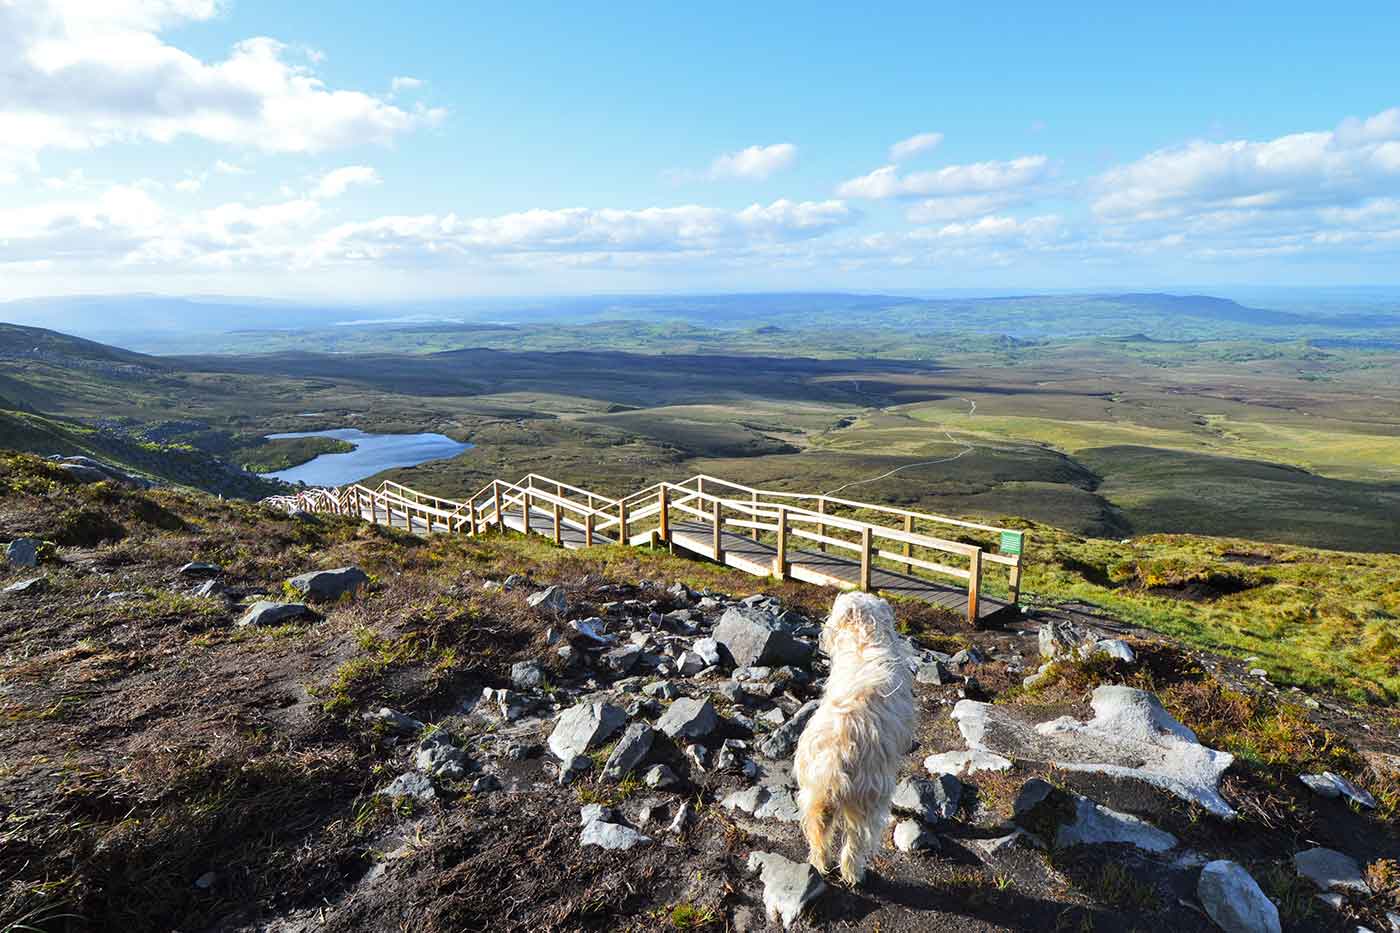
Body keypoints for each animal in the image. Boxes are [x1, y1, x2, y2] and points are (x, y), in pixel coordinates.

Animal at [795, 591, 912, 885]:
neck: (863, 639)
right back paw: (854, 874)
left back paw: (820, 864)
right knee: (854, 844)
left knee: (819, 836)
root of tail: (833, 761)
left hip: (812, 797)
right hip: (868, 802)